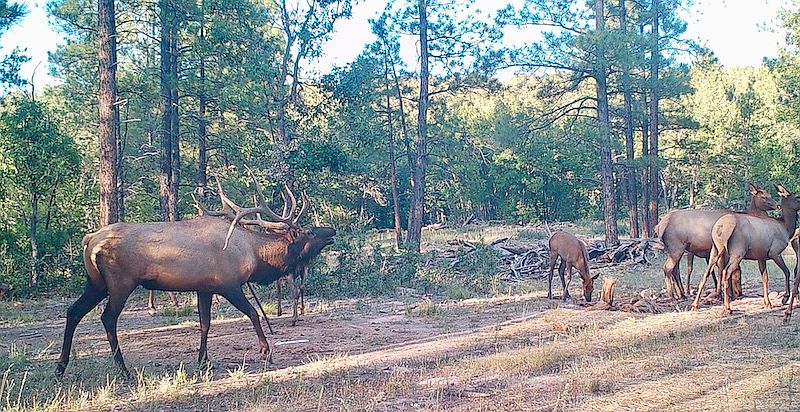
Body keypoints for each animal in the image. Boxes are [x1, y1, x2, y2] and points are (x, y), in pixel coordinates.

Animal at [55, 178, 336, 379]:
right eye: (309, 231)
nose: (332, 230)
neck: (255, 257)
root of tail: (90, 239)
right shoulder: (229, 284)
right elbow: (253, 313)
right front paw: (266, 351)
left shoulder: (204, 288)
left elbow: (204, 324)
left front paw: (203, 361)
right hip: (120, 282)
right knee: (107, 318)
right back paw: (123, 370)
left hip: (96, 283)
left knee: (73, 311)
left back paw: (60, 367)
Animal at [691, 184, 800, 315]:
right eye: (798, 197)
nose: (777, 206)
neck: (786, 228)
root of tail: (720, 227)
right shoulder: (775, 252)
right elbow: (787, 271)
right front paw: (784, 298)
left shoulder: (761, 256)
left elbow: (765, 278)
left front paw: (768, 303)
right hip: (738, 251)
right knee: (726, 271)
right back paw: (727, 307)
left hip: (715, 249)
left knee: (706, 272)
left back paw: (695, 305)